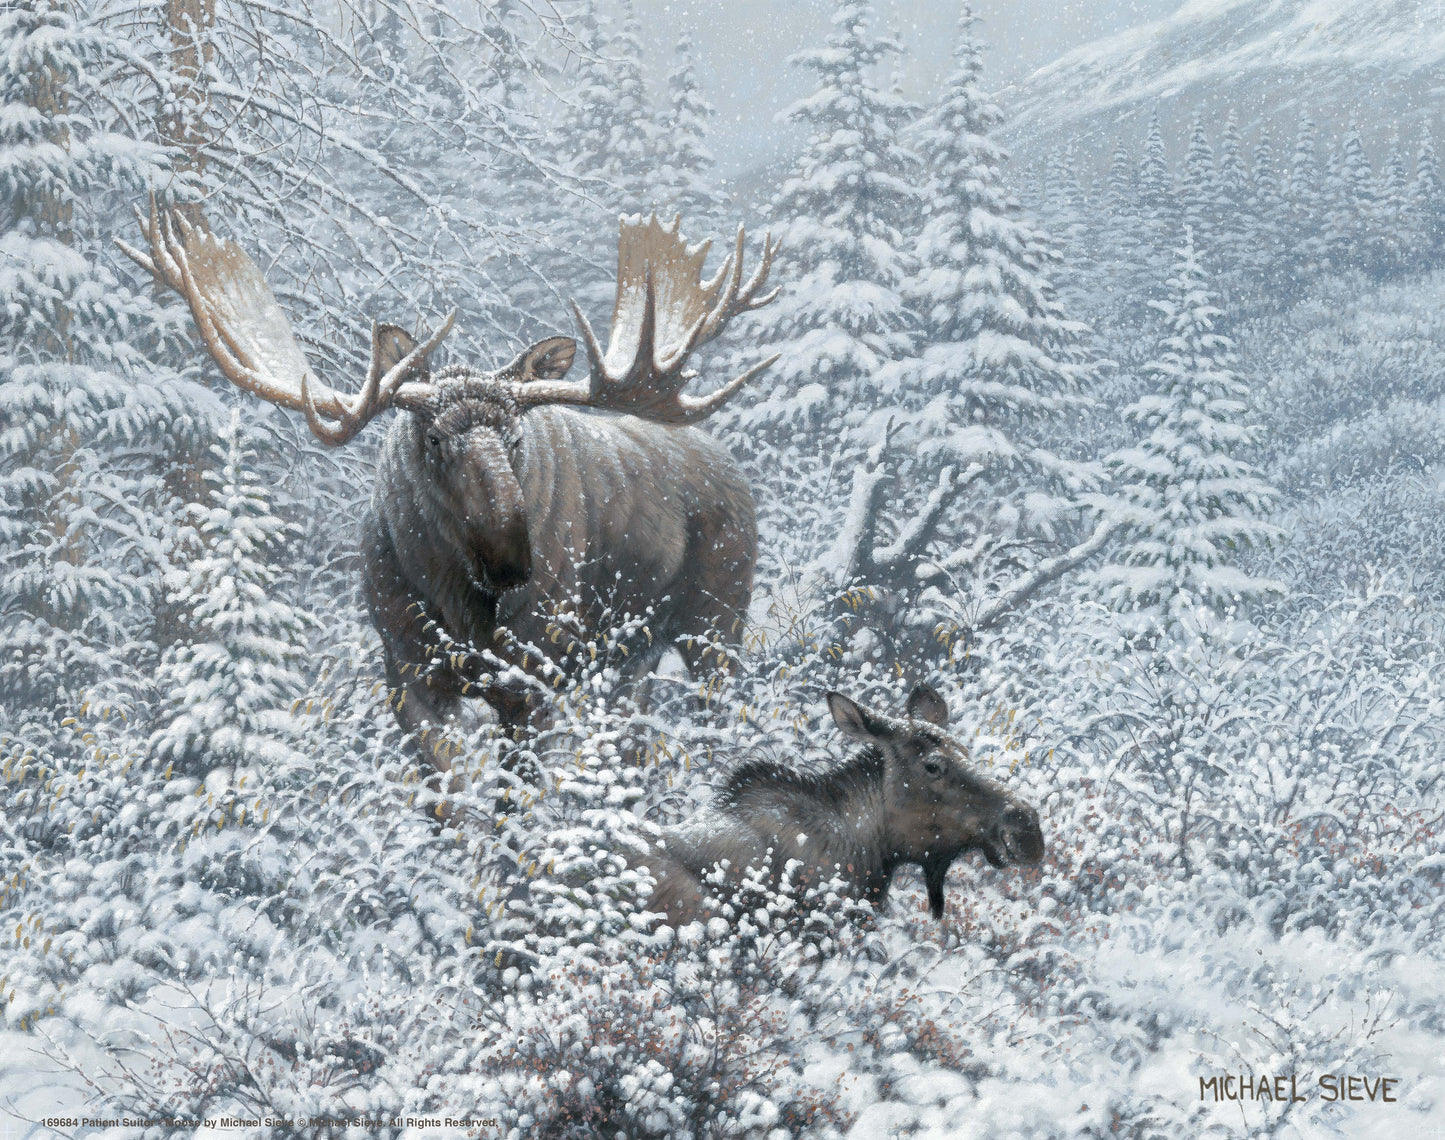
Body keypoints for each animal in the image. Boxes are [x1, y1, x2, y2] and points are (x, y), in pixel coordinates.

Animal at [121, 202, 779, 781]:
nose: (512, 561)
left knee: (719, 721)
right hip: (633, 658)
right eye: (434, 438)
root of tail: (731, 466)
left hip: (718, 622)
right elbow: (451, 802)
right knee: (635, 741)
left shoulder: (532, 677)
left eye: (516, 437)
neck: (455, 604)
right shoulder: (405, 672)